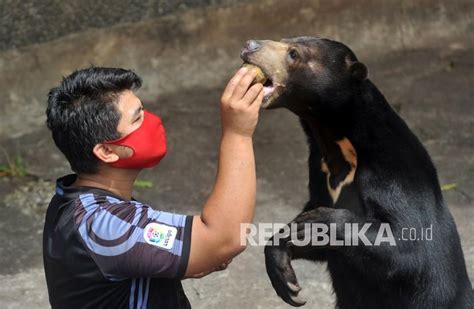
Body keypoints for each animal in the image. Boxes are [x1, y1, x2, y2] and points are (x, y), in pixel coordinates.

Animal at [241, 37, 474, 306]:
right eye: (286, 39)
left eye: (293, 53)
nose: (249, 45)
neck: (335, 142)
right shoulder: (318, 169)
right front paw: (285, 276)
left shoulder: (393, 170)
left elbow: (407, 243)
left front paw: (313, 225)